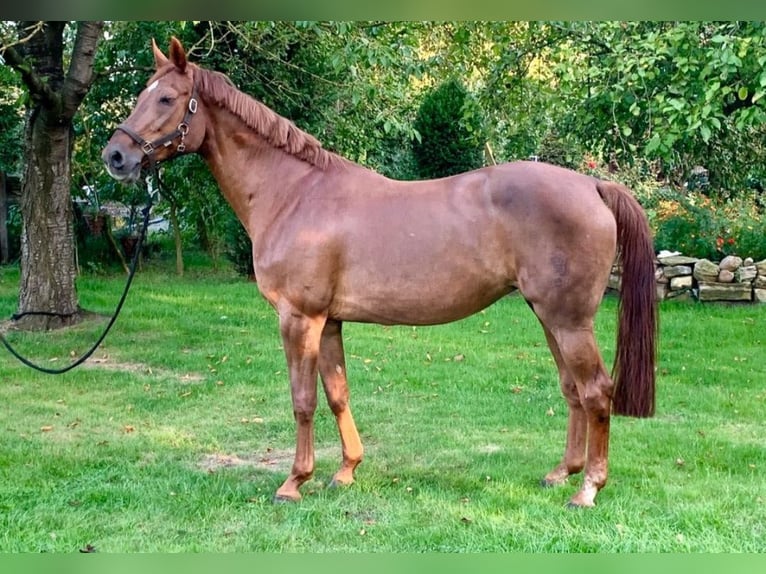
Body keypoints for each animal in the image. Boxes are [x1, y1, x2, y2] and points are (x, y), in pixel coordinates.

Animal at [102, 38, 656, 508]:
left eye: (167, 98)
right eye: (142, 93)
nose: (115, 156)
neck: (294, 193)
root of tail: (593, 185)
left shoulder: (298, 318)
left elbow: (303, 400)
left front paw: (293, 482)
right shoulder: (329, 321)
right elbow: (337, 393)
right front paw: (345, 471)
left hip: (568, 320)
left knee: (595, 391)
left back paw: (587, 489)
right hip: (548, 317)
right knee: (572, 390)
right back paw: (562, 473)